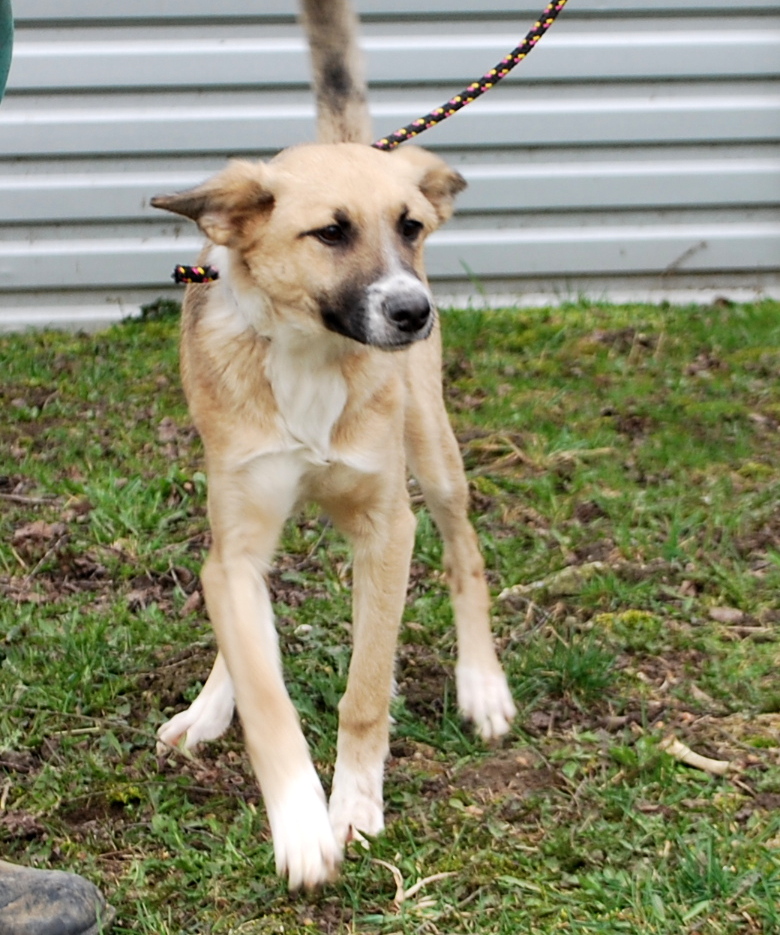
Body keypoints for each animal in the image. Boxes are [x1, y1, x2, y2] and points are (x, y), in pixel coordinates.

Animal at [151, 0, 516, 890]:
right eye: (328, 234)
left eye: (411, 227)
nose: (413, 312)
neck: (311, 353)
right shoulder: (238, 536)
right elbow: (265, 690)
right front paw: (301, 823)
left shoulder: (388, 529)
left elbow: (365, 690)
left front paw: (351, 805)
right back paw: (209, 706)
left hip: (434, 452)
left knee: (466, 550)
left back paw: (482, 685)